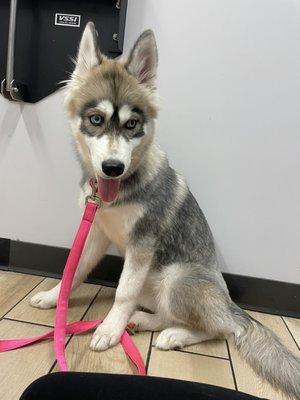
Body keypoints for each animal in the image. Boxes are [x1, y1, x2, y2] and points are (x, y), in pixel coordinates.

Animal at [31, 22, 300, 400]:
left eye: (131, 124)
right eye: (96, 119)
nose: (112, 167)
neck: (120, 190)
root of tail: (230, 304)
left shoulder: (142, 243)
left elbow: (122, 293)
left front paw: (109, 329)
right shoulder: (97, 231)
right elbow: (75, 270)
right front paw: (54, 298)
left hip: (177, 278)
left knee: (221, 329)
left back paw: (172, 335)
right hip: (152, 281)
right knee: (164, 312)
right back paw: (142, 322)